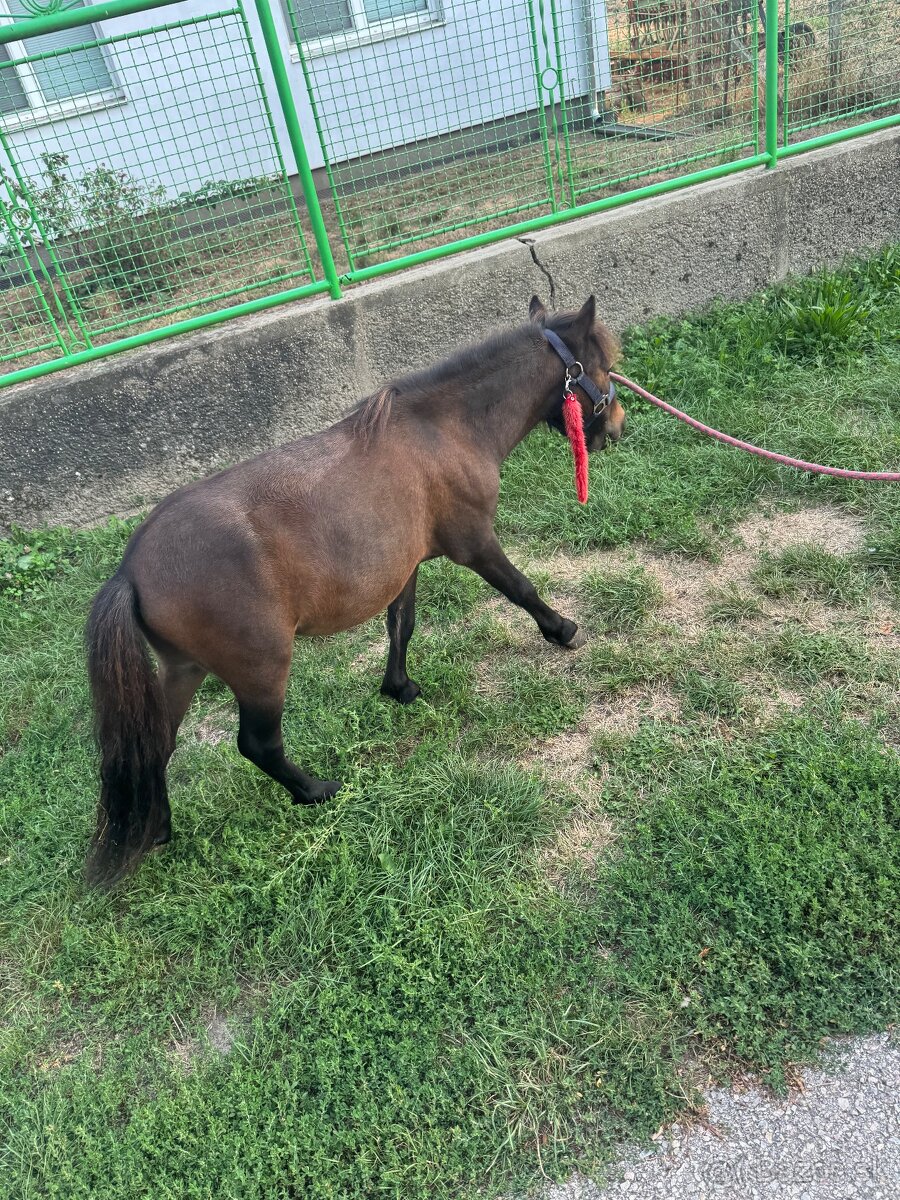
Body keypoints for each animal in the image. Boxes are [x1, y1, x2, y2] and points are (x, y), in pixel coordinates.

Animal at [88, 295, 628, 888]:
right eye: (603, 366)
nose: (618, 425)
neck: (444, 431)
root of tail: (130, 571)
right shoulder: (475, 544)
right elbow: (521, 589)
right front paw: (562, 629)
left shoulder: (406, 565)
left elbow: (401, 625)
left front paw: (399, 687)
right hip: (261, 668)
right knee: (257, 744)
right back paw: (314, 791)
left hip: (184, 669)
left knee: (155, 743)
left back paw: (158, 824)